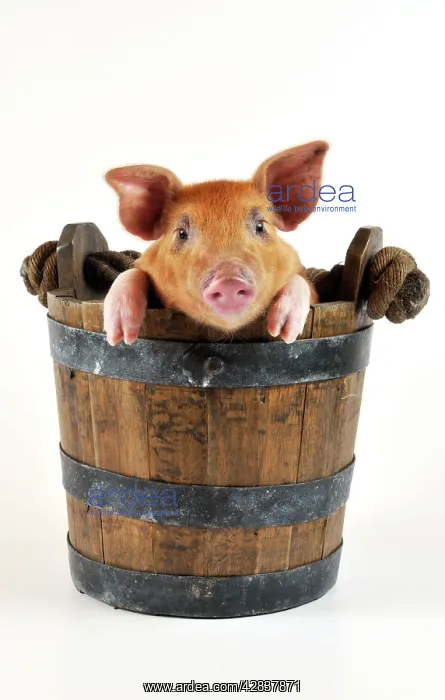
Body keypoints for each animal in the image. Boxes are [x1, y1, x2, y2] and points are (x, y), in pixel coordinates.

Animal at [103, 140, 328, 346]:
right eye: (181, 233)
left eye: (260, 226)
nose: (229, 279)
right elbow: (131, 272)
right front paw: (119, 337)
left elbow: (300, 282)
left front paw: (284, 333)